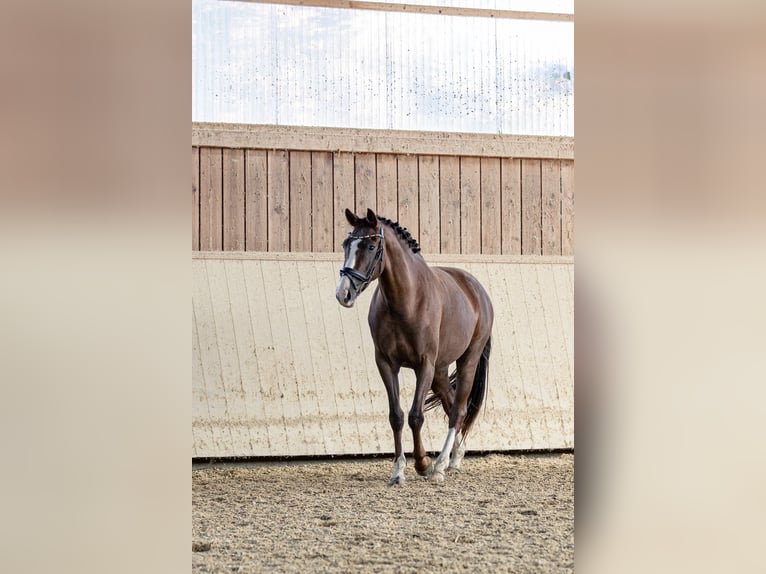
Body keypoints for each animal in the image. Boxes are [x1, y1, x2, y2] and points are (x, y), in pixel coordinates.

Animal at [335, 208, 493, 485]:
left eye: (371, 245)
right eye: (346, 244)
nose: (343, 294)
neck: (406, 300)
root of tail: (476, 289)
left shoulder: (424, 365)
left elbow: (415, 416)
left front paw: (423, 463)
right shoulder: (386, 364)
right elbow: (396, 416)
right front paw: (398, 471)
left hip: (467, 360)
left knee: (458, 410)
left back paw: (440, 466)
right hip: (440, 371)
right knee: (451, 404)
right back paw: (454, 458)